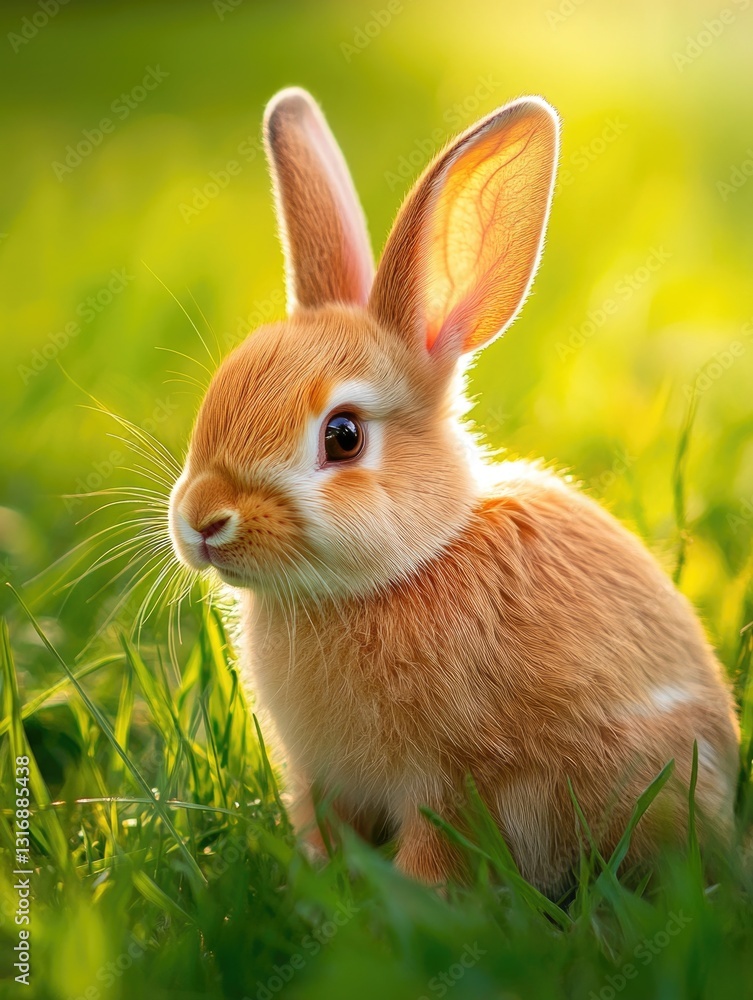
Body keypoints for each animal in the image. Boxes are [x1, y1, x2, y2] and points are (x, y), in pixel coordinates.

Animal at [169, 87, 739, 893]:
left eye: (342, 436)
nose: (202, 522)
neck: (406, 568)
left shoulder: (450, 782)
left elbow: (435, 854)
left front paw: (403, 901)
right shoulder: (322, 781)